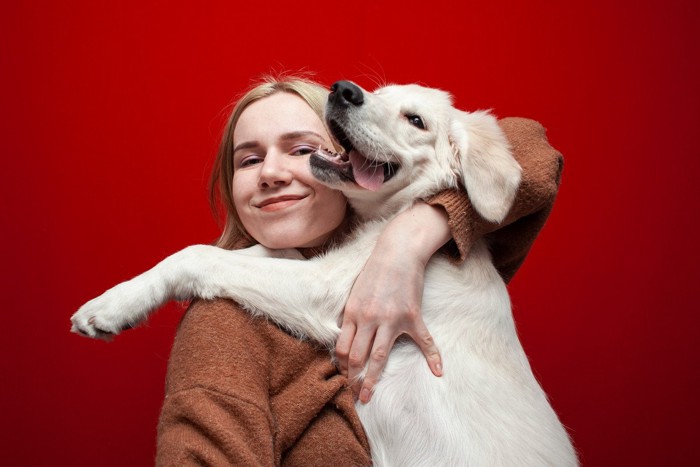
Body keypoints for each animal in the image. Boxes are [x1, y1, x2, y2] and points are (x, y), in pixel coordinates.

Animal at [71, 81, 576, 467]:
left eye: (416, 120)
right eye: (378, 92)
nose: (345, 90)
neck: (394, 216)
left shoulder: (329, 291)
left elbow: (200, 256)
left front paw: (112, 306)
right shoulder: (320, 267)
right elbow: (271, 247)